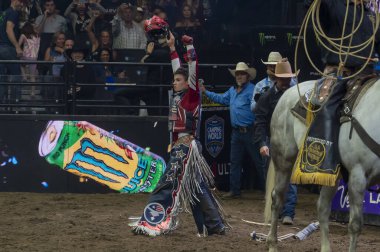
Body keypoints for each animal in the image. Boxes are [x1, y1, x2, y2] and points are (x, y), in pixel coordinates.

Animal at [264, 79, 380, 251]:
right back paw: (272, 243)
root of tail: (286, 93)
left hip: (330, 174)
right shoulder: (357, 176)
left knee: (323, 208)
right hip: (283, 160)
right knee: (277, 198)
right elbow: (355, 225)